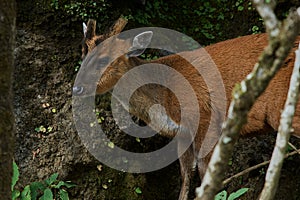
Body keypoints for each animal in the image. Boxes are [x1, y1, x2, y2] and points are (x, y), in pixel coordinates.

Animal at [73, 18, 300, 199]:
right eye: (83, 52)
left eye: (104, 59)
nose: (77, 88)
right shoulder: (181, 133)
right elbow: (186, 174)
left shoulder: (206, 119)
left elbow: (205, 172)